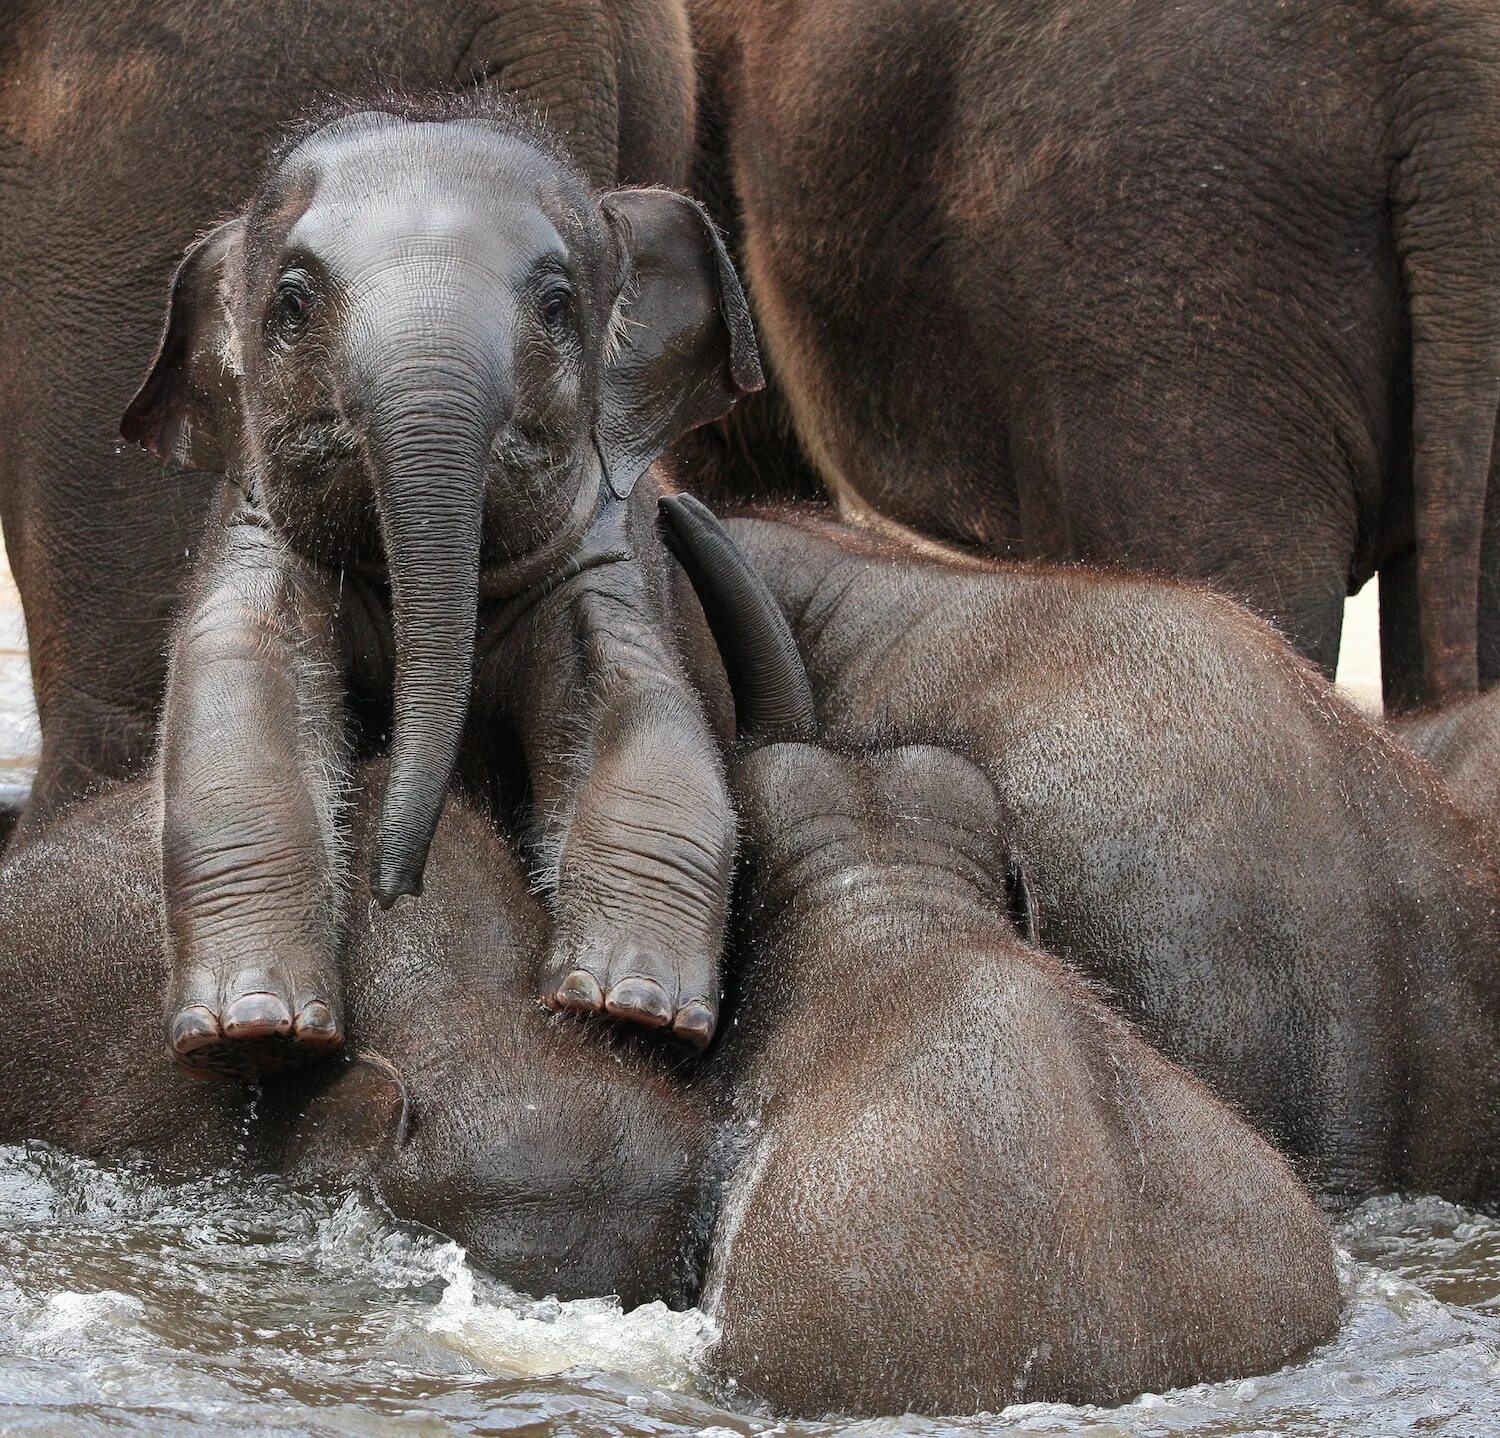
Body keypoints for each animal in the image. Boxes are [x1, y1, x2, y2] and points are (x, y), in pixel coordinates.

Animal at [121, 95, 768, 1073]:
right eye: (292, 304)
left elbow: (644, 713)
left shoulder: (605, 555)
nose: (398, 889)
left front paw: (631, 1011)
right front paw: (256, 1030)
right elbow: (237, 704)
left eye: (557, 306)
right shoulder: (252, 537)